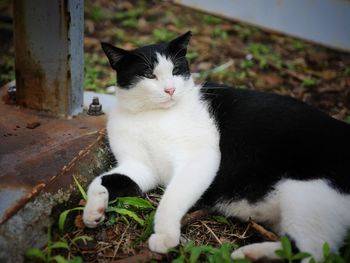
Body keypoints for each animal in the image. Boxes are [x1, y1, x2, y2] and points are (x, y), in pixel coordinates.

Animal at [83, 31, 350, 262]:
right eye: (149, 75)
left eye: (176, 71)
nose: (170, 90)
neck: (150, 115)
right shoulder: (140, 168)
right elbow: (100, 180)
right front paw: (92, 211)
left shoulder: (199, 159)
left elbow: (171, 197)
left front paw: (166, 236)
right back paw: (251, 254)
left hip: (306, 197)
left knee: (311, 252)